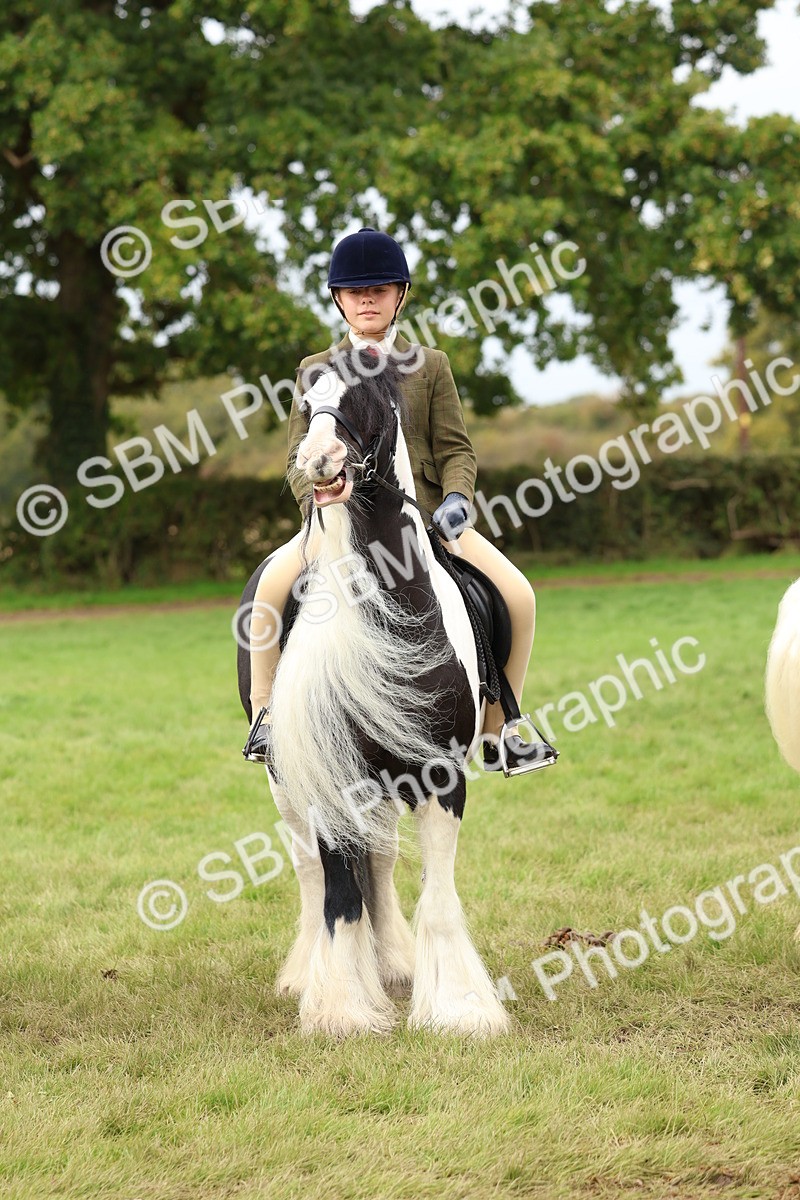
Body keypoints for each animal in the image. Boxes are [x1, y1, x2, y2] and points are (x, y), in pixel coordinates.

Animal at [236, 346, 511, 1037]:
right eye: (305, 403)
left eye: (361, 397)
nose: (317, 460)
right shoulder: (327, 773)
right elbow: (337, 894)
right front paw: (341, 1009)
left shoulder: (441, 773)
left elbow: (434, 893)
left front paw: (459, 1010)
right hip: (285, 778)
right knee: (313, 875)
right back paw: (308, 975)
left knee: (381, 866)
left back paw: (394, 967)